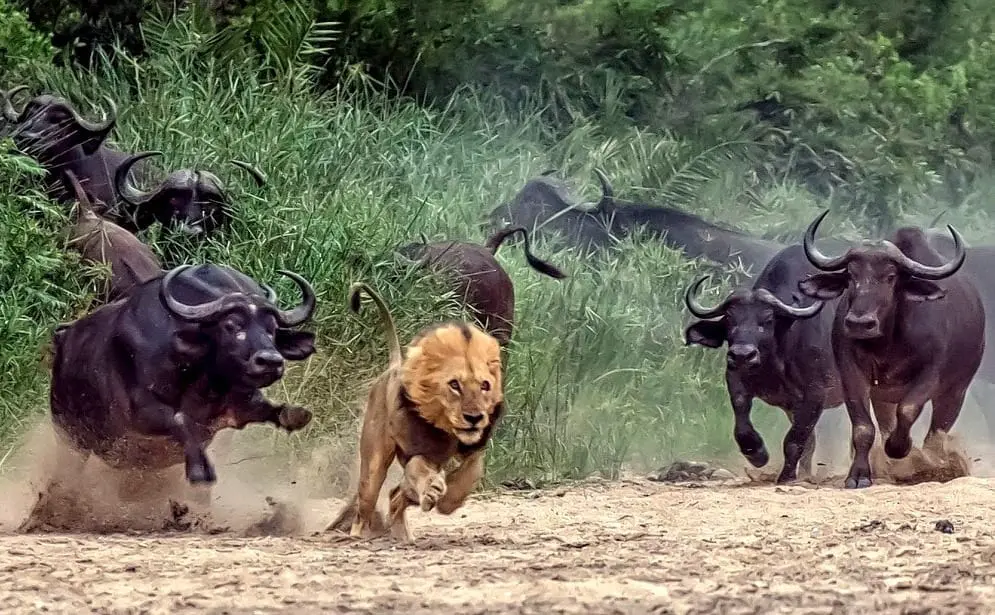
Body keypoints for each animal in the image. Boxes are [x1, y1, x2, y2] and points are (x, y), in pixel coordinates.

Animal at [20, 263, 318, 531]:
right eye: (232, 325)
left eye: (271, 328)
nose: (270, 361)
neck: (202, 378)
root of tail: (62, 338)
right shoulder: (141, 413)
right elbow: (181, 420)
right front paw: (199, 471)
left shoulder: (237, 405)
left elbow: (265, 408)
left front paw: (294, 415)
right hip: (70, 436)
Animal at [683, 243, 843, 483]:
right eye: (730, 320)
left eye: (767, 320)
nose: (742, 355)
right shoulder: (737, 380)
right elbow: (742, 425)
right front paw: (757, 454)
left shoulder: (816, 393)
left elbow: (795, 440)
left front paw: (786, 476)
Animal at [798, 211, 984, 488]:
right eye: (851, 275)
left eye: (890, 276)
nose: (859, 323)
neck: (888, 342)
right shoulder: (852, 374)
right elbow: (863, 428)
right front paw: (859, 475)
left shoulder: (931, 375)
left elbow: (907, 410)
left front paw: (900, 448)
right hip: (883, 397)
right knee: (888, 423)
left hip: (956, 390)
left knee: (937, 433)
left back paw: (936, 464)